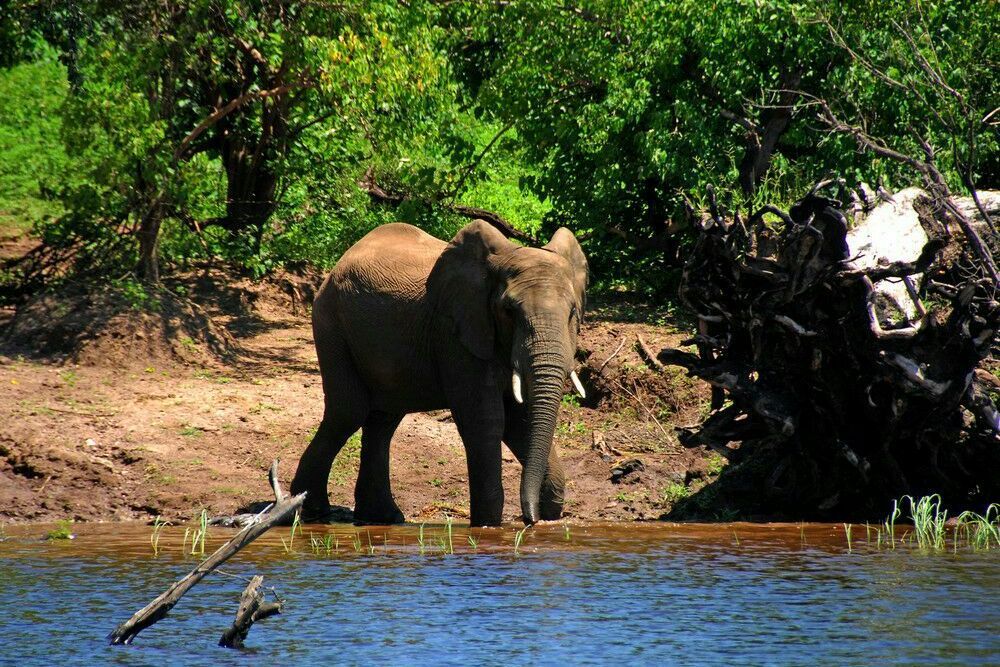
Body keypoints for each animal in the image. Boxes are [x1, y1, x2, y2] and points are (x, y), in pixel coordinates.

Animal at [290, 220, 584, 528]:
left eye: (573, 313)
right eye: (508, 311)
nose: (531, 518)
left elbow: (522, 420)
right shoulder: (455, 334)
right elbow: (486, 420)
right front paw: (487, 525)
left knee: (383, 420)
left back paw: (380, 518)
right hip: (331, 323)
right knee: (348, 413)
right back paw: (311, 512)